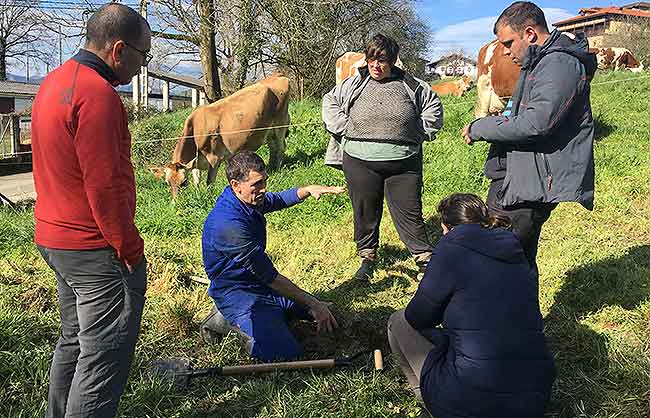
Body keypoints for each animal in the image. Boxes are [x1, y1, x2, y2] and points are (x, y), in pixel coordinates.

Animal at [152, 73, 288, 198]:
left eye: (184, 182)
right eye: (167, 183)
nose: (176, 203)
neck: (195, 131)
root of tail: (277, 75)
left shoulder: (214, 158)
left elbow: (209, 182)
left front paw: (208, 197)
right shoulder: (195, 162)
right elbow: (197, 180)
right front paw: (197, 194)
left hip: (280, 125)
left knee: (280, 148)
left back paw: (278, 168)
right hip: (268, 132)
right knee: (273, 147)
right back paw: (271, 168)